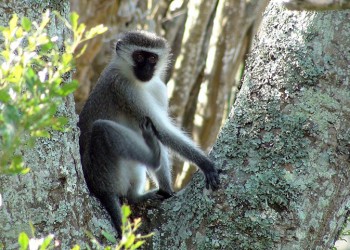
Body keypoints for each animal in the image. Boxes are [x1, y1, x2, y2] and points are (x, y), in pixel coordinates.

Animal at [78, 30, 220, 237]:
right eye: (138, 56)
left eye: (152, 58)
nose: (146, 69)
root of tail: (99, 188)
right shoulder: (124, 88)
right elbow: (161, 130)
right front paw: (205, 163)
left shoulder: (160, 88)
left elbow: (160, 133)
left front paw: (167, 190)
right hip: (106, 172)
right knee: (102, 128)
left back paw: (137, 196)